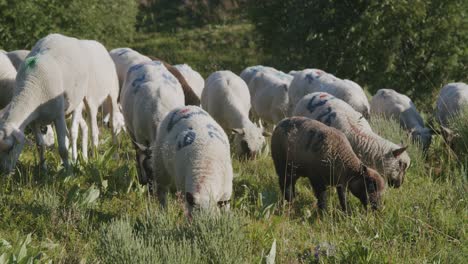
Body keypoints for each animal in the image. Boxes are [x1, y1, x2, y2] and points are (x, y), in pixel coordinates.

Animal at [0, 33, 88, 173]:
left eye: (11, 148)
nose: (4, 172)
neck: (31, 89)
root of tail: (63, 36)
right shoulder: (33, 121)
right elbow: (40, 144)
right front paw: (43, 169)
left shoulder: (58, 116)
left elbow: (62, 149)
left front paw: (69, 173)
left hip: (77, 101)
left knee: (73, 133)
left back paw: (74, 160)